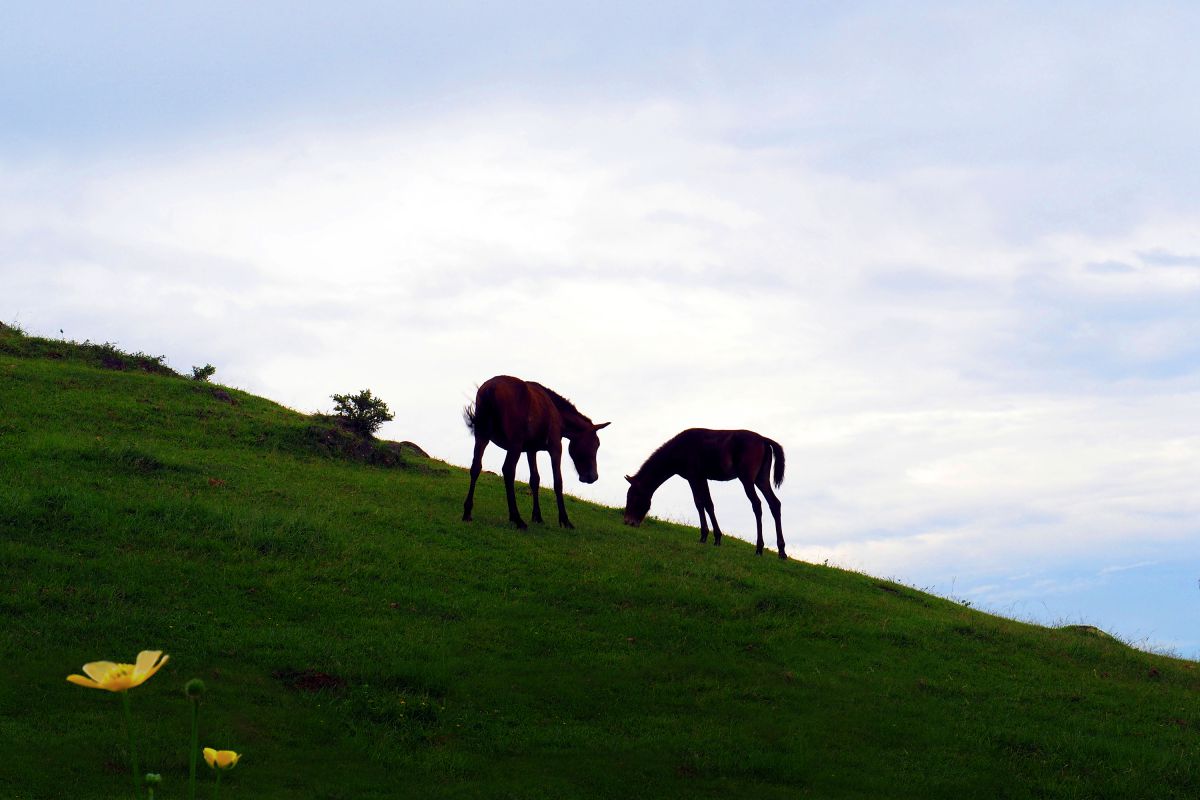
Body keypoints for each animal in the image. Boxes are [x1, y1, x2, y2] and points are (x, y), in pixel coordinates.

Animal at [458, 376, 609, 532]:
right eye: (595, 444)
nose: (593, 477)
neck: (557, 413)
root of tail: (491, 387)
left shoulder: (531, 450)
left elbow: (535, 480)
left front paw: (537, 517)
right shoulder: (556, 447)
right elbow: (558, 482)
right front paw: (565, 520)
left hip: (482, 437)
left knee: (476, 467)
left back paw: (468, 512)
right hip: (514, 445)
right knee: (508, 471)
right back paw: (517, 518)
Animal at [624, 431, 792, 556]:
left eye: (632, 497)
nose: (628, 522)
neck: (678, 449)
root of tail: (764, 440)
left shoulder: (694, 477)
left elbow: (700, 503)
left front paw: (704, 535)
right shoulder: (702, 478)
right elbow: (708, 504)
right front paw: (716, 537)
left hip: (747, 479)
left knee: (757, 505)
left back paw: (759, 548)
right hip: (761, 479)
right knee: (774, 504)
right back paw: (781, 551)